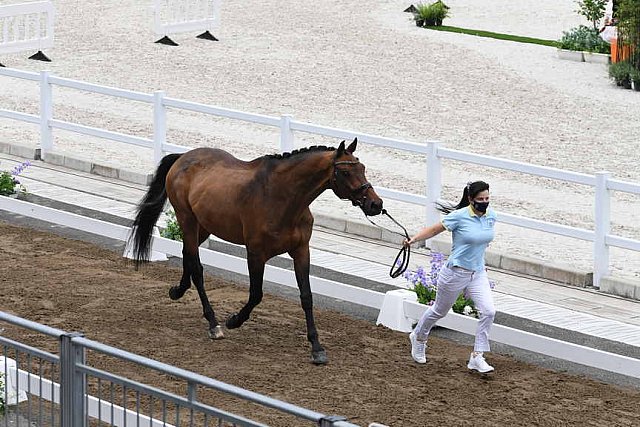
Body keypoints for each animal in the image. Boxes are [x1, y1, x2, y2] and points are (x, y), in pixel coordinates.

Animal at [127, 140, 382, 364]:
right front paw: (234, 321)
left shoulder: (301, 251)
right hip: (187, 219)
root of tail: (183, 157)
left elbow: (306, 297)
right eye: (346, 172)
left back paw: (178, 291)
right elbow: (256, 294)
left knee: (187, 254)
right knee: (197, 268)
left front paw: (317, 348)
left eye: (362, 168)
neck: (283, 197)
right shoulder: (256, 253)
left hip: (204, 226)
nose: (375, 204)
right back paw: (213, 324)